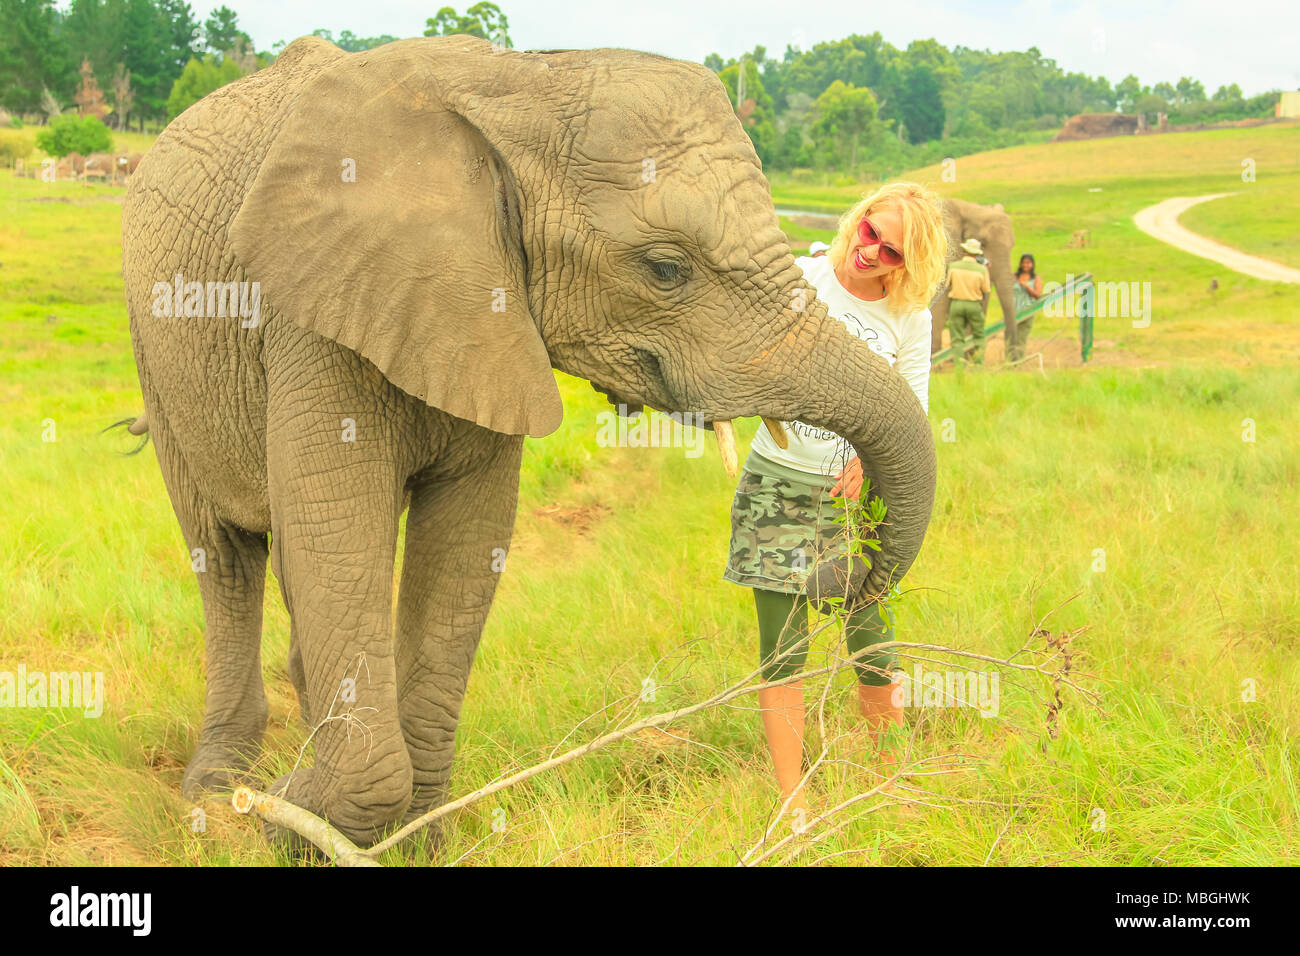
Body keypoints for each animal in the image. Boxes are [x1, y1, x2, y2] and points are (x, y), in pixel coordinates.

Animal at [121, 34, 937, 848]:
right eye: (665, 268)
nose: (840, 579)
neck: (518, 82)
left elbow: (464, 543)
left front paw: (415, 835)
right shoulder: (313, 317)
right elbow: (339, 532)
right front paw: (296, 815)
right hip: (156, 351)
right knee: (225, 554)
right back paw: (218, 785)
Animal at [929, 199, 1021, 359]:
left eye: (1012, 245)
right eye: (983, 244)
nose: (1013, 361)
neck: (970, 209)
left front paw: (968, 358)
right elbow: (940, 305)